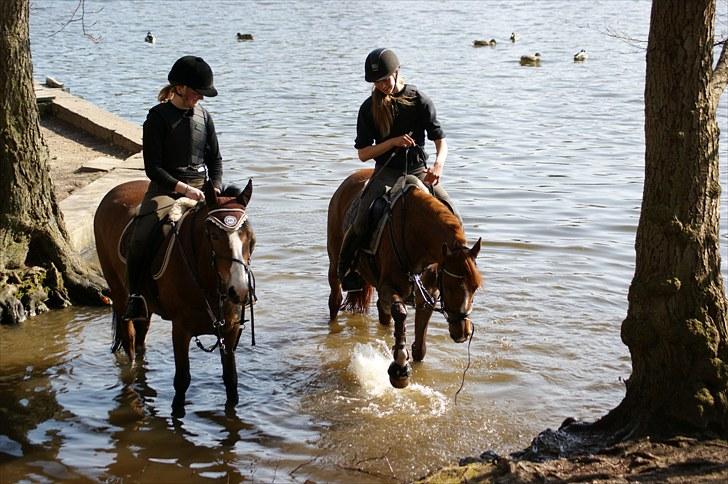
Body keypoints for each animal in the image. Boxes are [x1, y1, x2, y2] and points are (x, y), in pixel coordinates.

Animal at [94, 179, 256, 416]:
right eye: (214, 235)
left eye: (249, 236)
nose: (240, 290)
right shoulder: (180, 329)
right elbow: (182, 380)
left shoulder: (230, 329)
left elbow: (231, 380)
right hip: (119, 291)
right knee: (130, 341)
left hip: (145, 306)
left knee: (141, 338)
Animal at [328, 168, 480, 388]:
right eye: (451, 286)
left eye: (475, 287)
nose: (463, 332)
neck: (416, 239)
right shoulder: (388, 288)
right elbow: (400, 313)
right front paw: (399, 369)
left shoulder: (428, 296)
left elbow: (420, 347)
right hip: (334, 260)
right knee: (335, 300)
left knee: (383, 314)